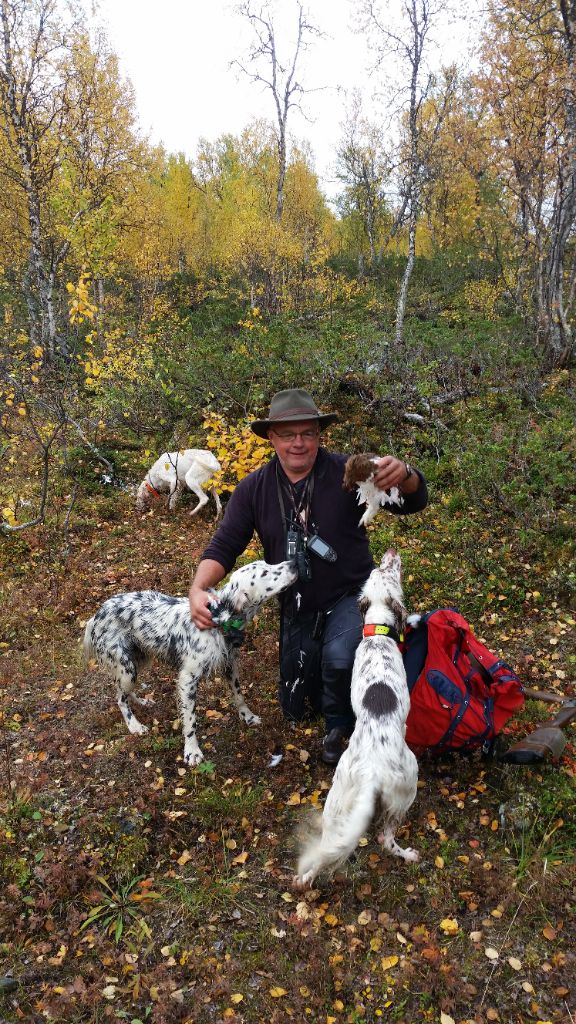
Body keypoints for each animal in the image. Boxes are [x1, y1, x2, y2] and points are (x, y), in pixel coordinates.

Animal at [84, 561, 295, 770]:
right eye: (265, 572)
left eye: (268, 563)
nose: (293, 563)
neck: (217, 620)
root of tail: (95, 616)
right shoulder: (188, 679)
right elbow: (191, 720)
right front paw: (192, 751)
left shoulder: (230, 664)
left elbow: (239, 695)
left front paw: (247, 716)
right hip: (127, 668)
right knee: (120, 698)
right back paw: (134, 725)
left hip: (139, 661)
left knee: (124, 692)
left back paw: (142, 702)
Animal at [293, 552, 420, 888]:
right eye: (389, 570)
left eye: (379, 570)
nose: (391, 553)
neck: (378, 634)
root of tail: (371, 772)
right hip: (407, 786)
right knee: (385, 839)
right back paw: (408, 855)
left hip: (337, 799)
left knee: (328, 846)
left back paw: (305, 877)